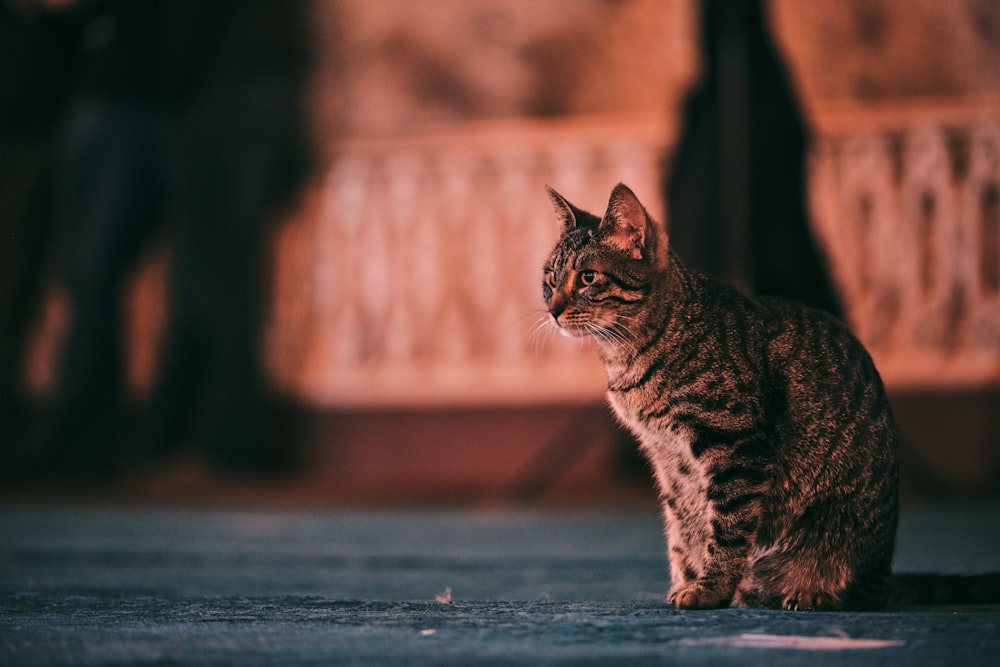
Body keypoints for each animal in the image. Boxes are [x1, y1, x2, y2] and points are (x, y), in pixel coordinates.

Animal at [544, 183, 904, 612]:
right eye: (549, 278)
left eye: (588, 277)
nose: (551, 310)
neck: (627, 356)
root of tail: (885, 574)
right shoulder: (668, 461)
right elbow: (683, 530)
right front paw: (690, 580)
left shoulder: (736, 446)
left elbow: (729, 528)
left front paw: (711, 588)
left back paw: (811, 591)